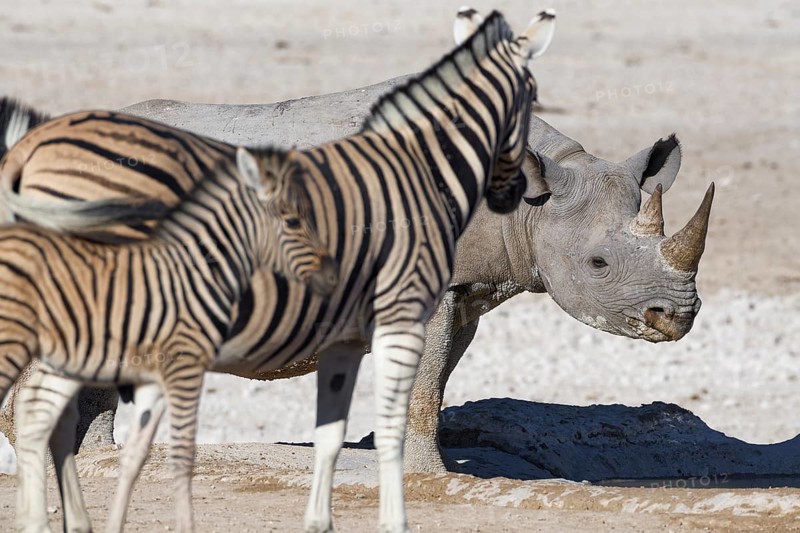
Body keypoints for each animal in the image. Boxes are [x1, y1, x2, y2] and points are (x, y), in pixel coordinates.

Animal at [0, 75, 713, 474]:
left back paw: (101, 463)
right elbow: (420, 384)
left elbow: (434, 380)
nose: (674, 319)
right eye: (598, 264)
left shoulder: (466, 289)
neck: (529, 199)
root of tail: (26, 155)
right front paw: (436, 479)